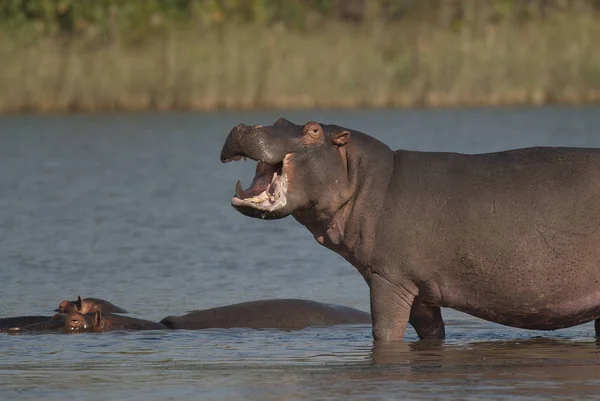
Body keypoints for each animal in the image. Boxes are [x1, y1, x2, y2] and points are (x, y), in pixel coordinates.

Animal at [220, 117, 600, 340]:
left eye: (313, 130)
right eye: (279, 120)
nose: (245, 126)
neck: (367, 179)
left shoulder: (389, 279)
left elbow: (384, 332)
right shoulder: (416, 288)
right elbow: (432, 331)